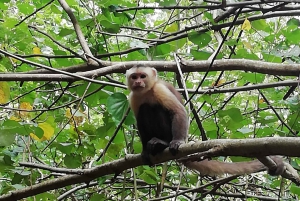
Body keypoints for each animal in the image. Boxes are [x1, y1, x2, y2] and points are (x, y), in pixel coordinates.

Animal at [125, 66, 284, 176]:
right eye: (134, 77)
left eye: (143, 76)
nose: (138, 82)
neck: (146, 92)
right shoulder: (133, 97)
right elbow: (139, 123)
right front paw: (144, 151)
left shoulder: (159, 89)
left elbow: (178, 112)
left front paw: (177, 142)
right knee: (143, 111)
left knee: (151, 108)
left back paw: (162, 142)